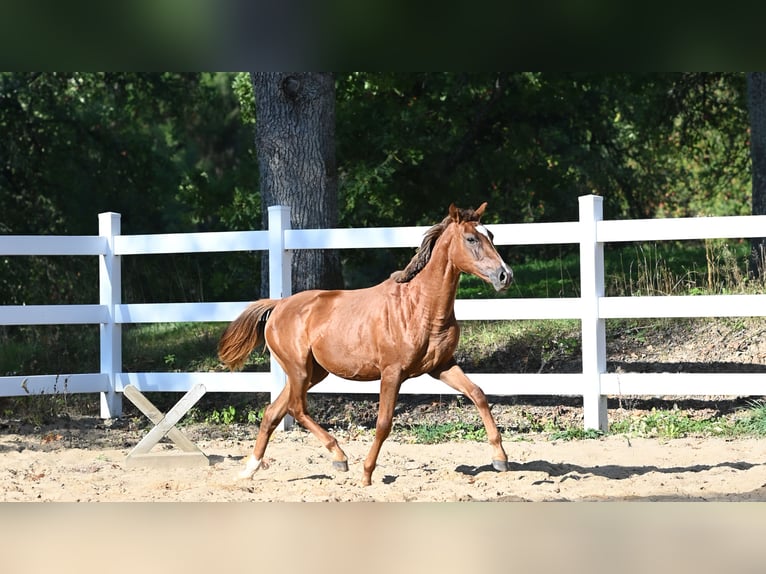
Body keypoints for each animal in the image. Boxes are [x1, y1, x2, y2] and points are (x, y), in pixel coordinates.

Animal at [219, 202, 512, 486]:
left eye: (491, 235)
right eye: (471, 238)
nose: (505, 275)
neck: (420, 307)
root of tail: (278, 305)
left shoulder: (441, 366)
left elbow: (478, 394)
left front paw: (500, 459)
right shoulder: (392, 372)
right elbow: (383, 423)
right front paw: (367, 474)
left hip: (312, 373)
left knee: (273, 412)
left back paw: (249, 471)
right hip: (299, 370)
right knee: (296, 409)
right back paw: (339, 457)